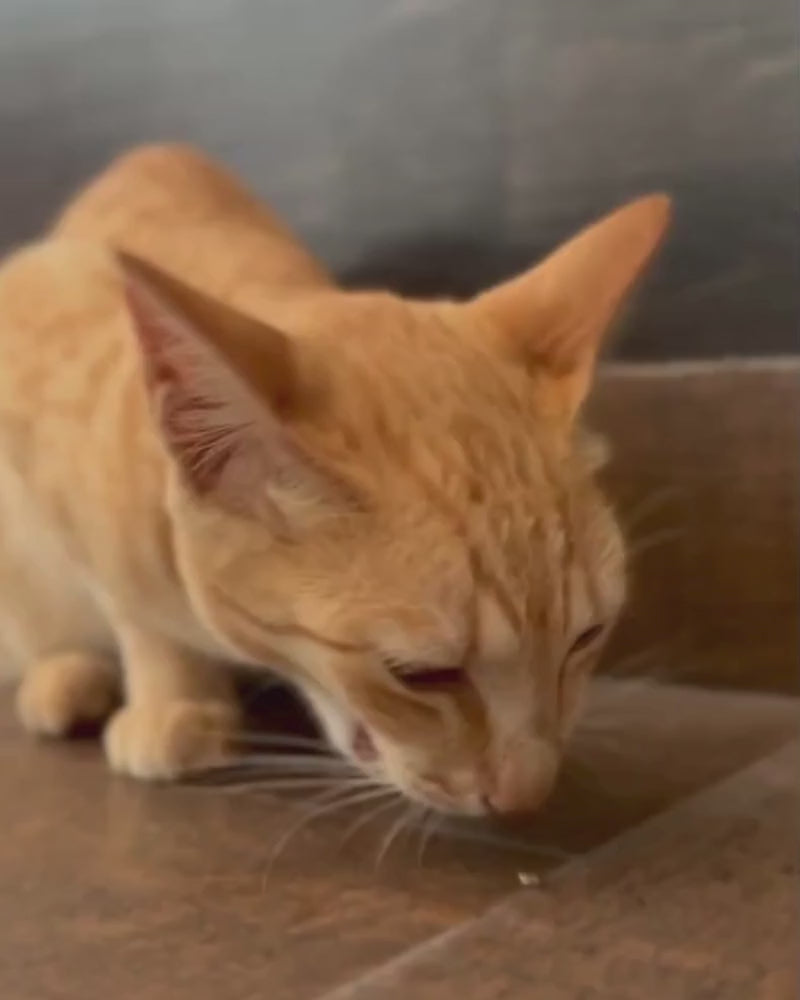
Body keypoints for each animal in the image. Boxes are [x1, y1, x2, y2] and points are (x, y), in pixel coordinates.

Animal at [0, 145, 670, 816]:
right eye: (419, 675)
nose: (527, 795)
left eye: (587, 636)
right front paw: (175, 696)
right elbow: (134, 612)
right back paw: (63, 677)